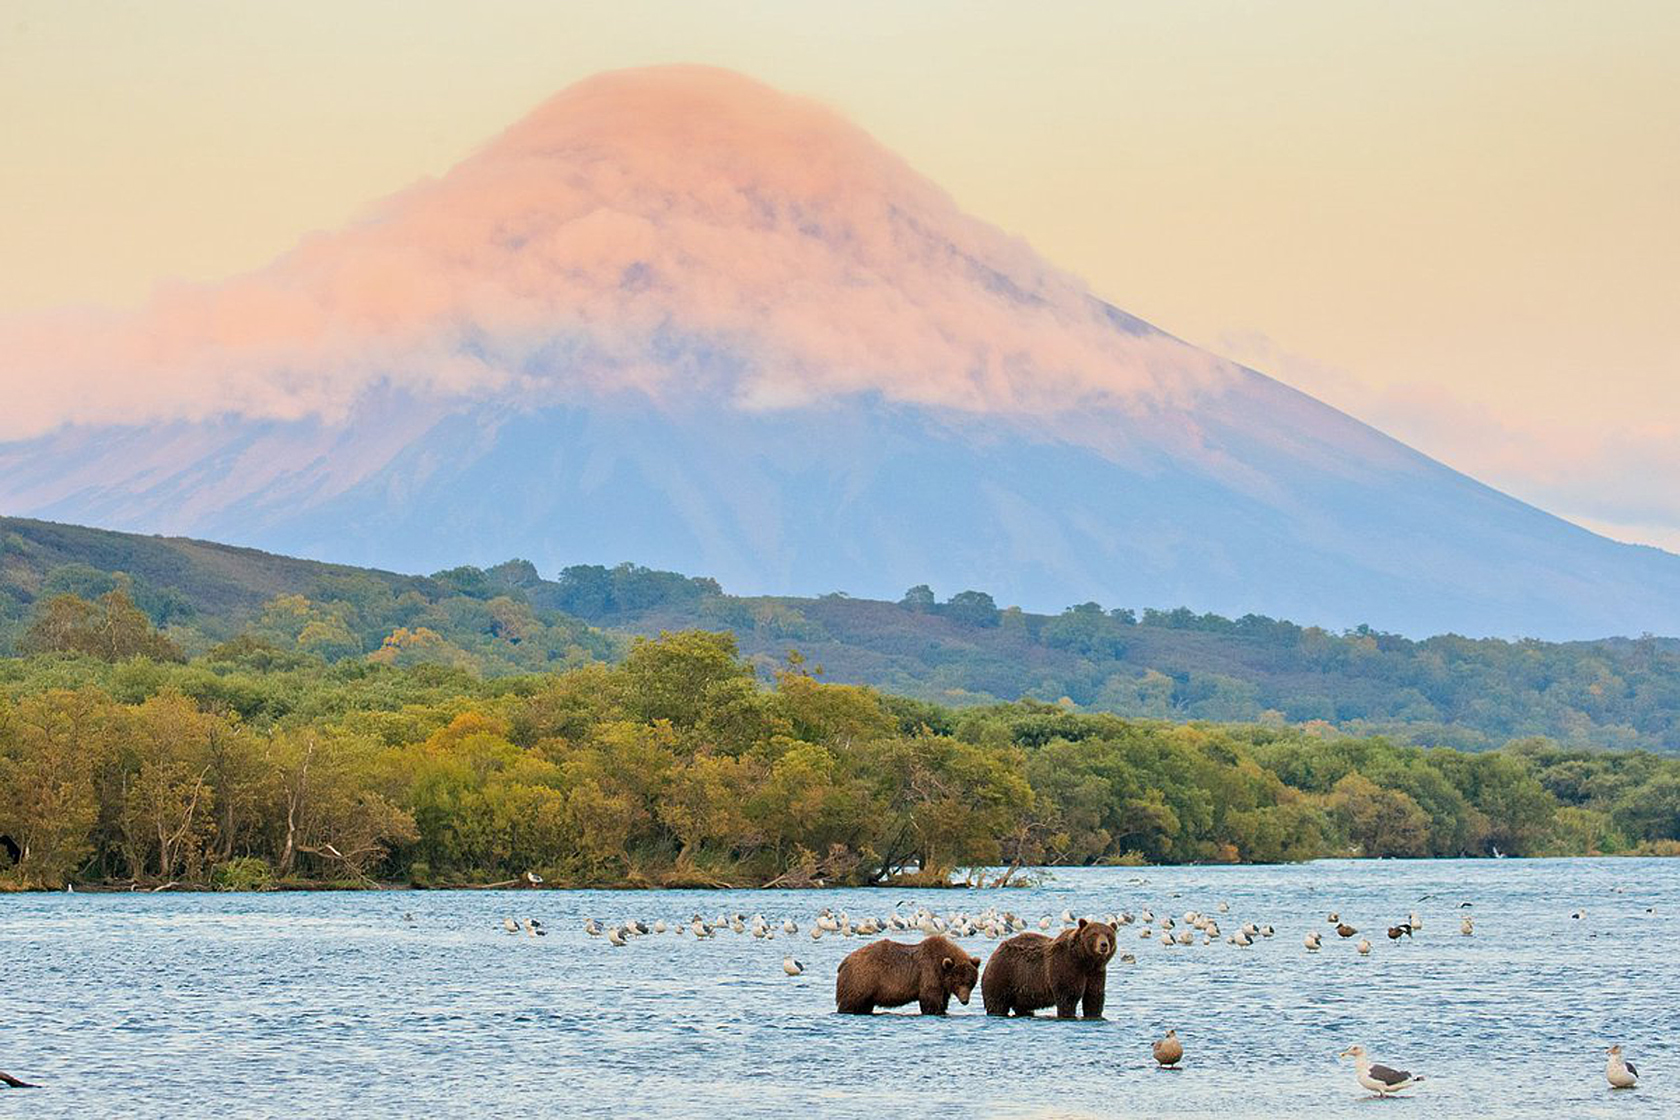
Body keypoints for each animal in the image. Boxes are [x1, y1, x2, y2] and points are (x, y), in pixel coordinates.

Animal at [836, 940, 981, 1014]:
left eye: (970, 982)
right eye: (958, 982)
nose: (965, 1000)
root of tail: (845, 961)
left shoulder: (942, 985)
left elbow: (942, 1001)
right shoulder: (929, 974)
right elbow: (930, 1000)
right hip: (861, 980)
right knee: (850, 1003)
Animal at [974, 920, 1115, 1014]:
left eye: (1109, 935)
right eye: (1094, 934)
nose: (1103, 945)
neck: (1083, 960)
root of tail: (994, 953)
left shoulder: (1096, 972)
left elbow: (1094, 997)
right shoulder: (1066, 966)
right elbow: (1068, 997)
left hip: (1022, 989)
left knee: (1022, 1007)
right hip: (1003, 976)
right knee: (997, 1004)